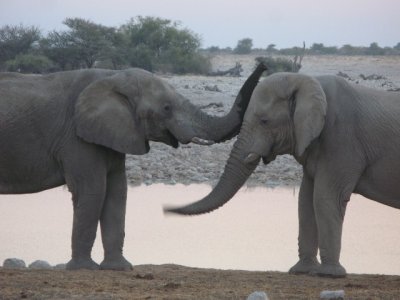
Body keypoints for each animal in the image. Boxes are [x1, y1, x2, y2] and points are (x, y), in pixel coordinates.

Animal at [0, 62, 268, 270]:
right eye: (166, 108)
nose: (264, 64)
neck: (112, 76)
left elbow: (117, 192)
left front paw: (118, 268)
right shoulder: (76, 137)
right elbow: (93, 190)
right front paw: (83, 268)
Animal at [165, 71, 400, 278]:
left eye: (264, 121)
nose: (165, 209)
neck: (308, 81)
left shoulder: (342, 140)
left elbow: (325, 198)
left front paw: (329, 275)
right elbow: (305, 200)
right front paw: (302, 271)